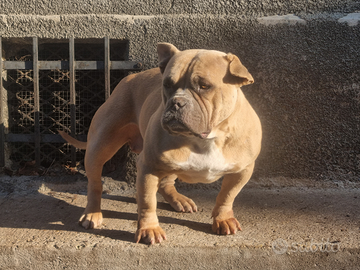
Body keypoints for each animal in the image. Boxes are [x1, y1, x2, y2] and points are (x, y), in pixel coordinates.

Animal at [59, 42, 262, 245]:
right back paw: (92, 214)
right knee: (95, 184)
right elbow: (148, 202)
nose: (176, 102)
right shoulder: (149, 167)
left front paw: (223, 219)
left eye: (204, 86)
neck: (208, 138)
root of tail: (130, 77)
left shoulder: (242, 171)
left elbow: (227, 196)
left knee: (166, 181)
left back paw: (178, 199)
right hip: (100, 146)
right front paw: (149, 229)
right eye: (167, 85)